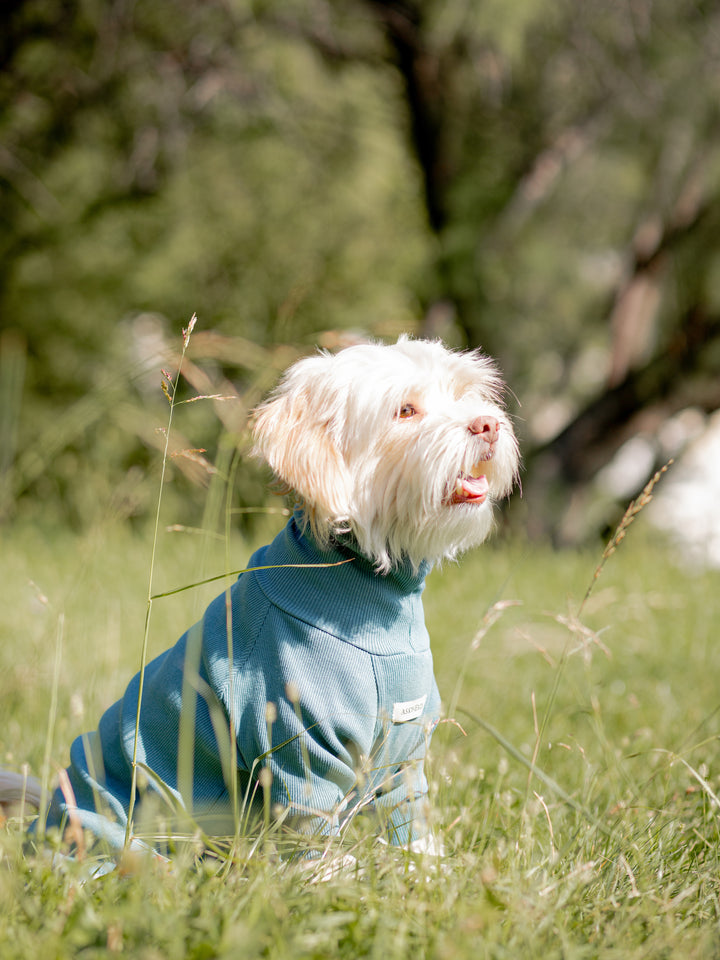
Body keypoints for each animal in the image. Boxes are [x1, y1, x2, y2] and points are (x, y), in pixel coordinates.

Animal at [0, 334, 516, 860]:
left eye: (464, 393)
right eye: (406, 410)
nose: (488, 424)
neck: (368, 590)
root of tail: (45, 819)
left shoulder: (404, 759)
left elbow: (410, 825)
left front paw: (429, 870)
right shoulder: (301, 750)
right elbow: (314, 840)